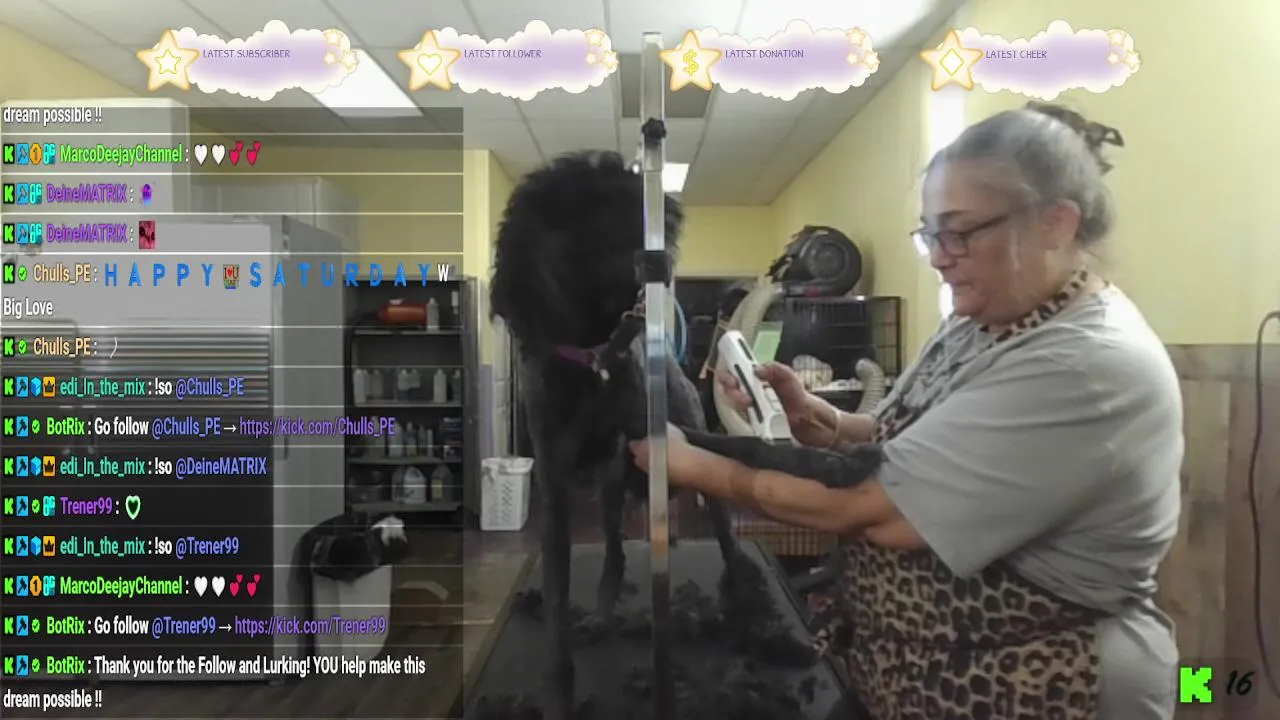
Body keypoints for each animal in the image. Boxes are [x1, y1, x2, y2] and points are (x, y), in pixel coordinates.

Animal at [491, 150, 788, 718]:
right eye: (590, 208)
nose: (665, 222)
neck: (594, 362)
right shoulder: (556, 490)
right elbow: (557, 606)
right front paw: (561, 691)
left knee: (726, 542)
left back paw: (749, 611)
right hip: (609, 488)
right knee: (613, 553)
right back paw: (603, 616)